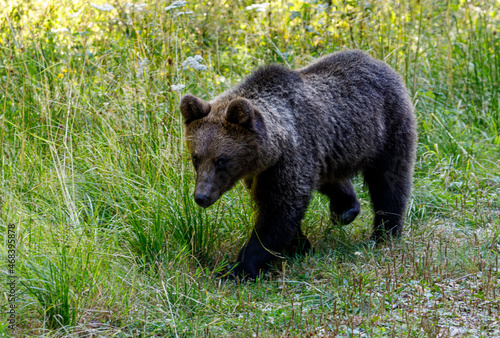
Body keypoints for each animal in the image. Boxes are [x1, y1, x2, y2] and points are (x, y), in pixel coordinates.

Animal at [181, 48, 418, 278]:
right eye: (196, 158)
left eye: (221, 160)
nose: (201, 196)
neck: (272, 150)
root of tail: (381, 63)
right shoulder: (264, 171)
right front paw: (301, 246)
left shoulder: (290, 157)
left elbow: (278, 212)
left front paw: (237, 268)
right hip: (328, 151)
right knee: (330, 178)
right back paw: (345, 210)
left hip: (387, 129)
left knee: (388, 183)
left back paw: (385, 233)